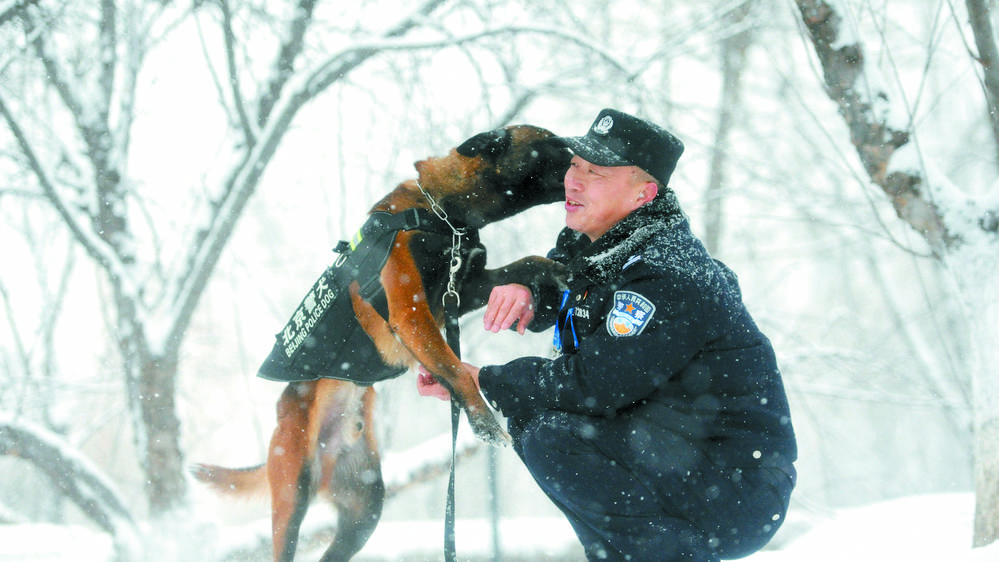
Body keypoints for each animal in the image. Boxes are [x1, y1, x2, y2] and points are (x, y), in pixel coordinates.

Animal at [193, 126, 572, 560]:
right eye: (554, 144)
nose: (586, 153)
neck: (442, 213)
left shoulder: (466, 288)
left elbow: (525, 263)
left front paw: (556, 269)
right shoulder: (412, 313)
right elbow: (457, 371)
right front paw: (484, 422)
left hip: (365, 510)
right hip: (293, 496)